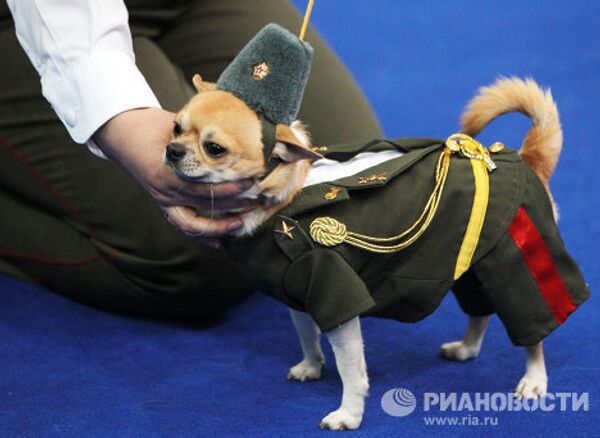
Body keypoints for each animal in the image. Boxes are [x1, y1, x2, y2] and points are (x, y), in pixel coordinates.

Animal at [164, 23, 592, 428]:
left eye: (215, 149)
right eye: (176, 127)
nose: (171, 150)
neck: (286, 199)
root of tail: (526, 157)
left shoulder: (336, 298)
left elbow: (352, 371)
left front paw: (349, 414)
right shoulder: (297, 295)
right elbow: (306, 336)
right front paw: (311, 366)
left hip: (514, 260)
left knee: (532, 329)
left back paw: (534, 379)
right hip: (473, 264)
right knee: (480, 311)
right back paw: (466, 348)